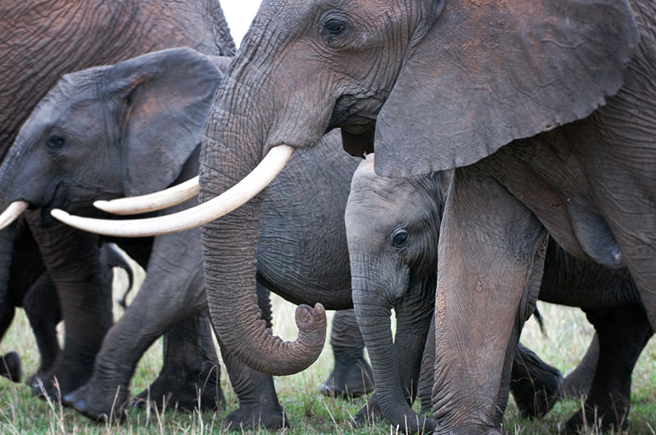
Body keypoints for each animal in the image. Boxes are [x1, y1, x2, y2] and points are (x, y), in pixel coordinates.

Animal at [0, 47, 374, 430]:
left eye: (56, 142)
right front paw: (254, 424)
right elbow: (221, 293)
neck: (133, 71)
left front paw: (87, 408)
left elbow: (179, 282)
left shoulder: (198, 169)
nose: (310, 313)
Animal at [344, 155, 652, 434]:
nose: (427, 422)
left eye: (400, 238)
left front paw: (427, 415)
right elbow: (421, 312)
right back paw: (591, 423)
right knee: (621, 327)